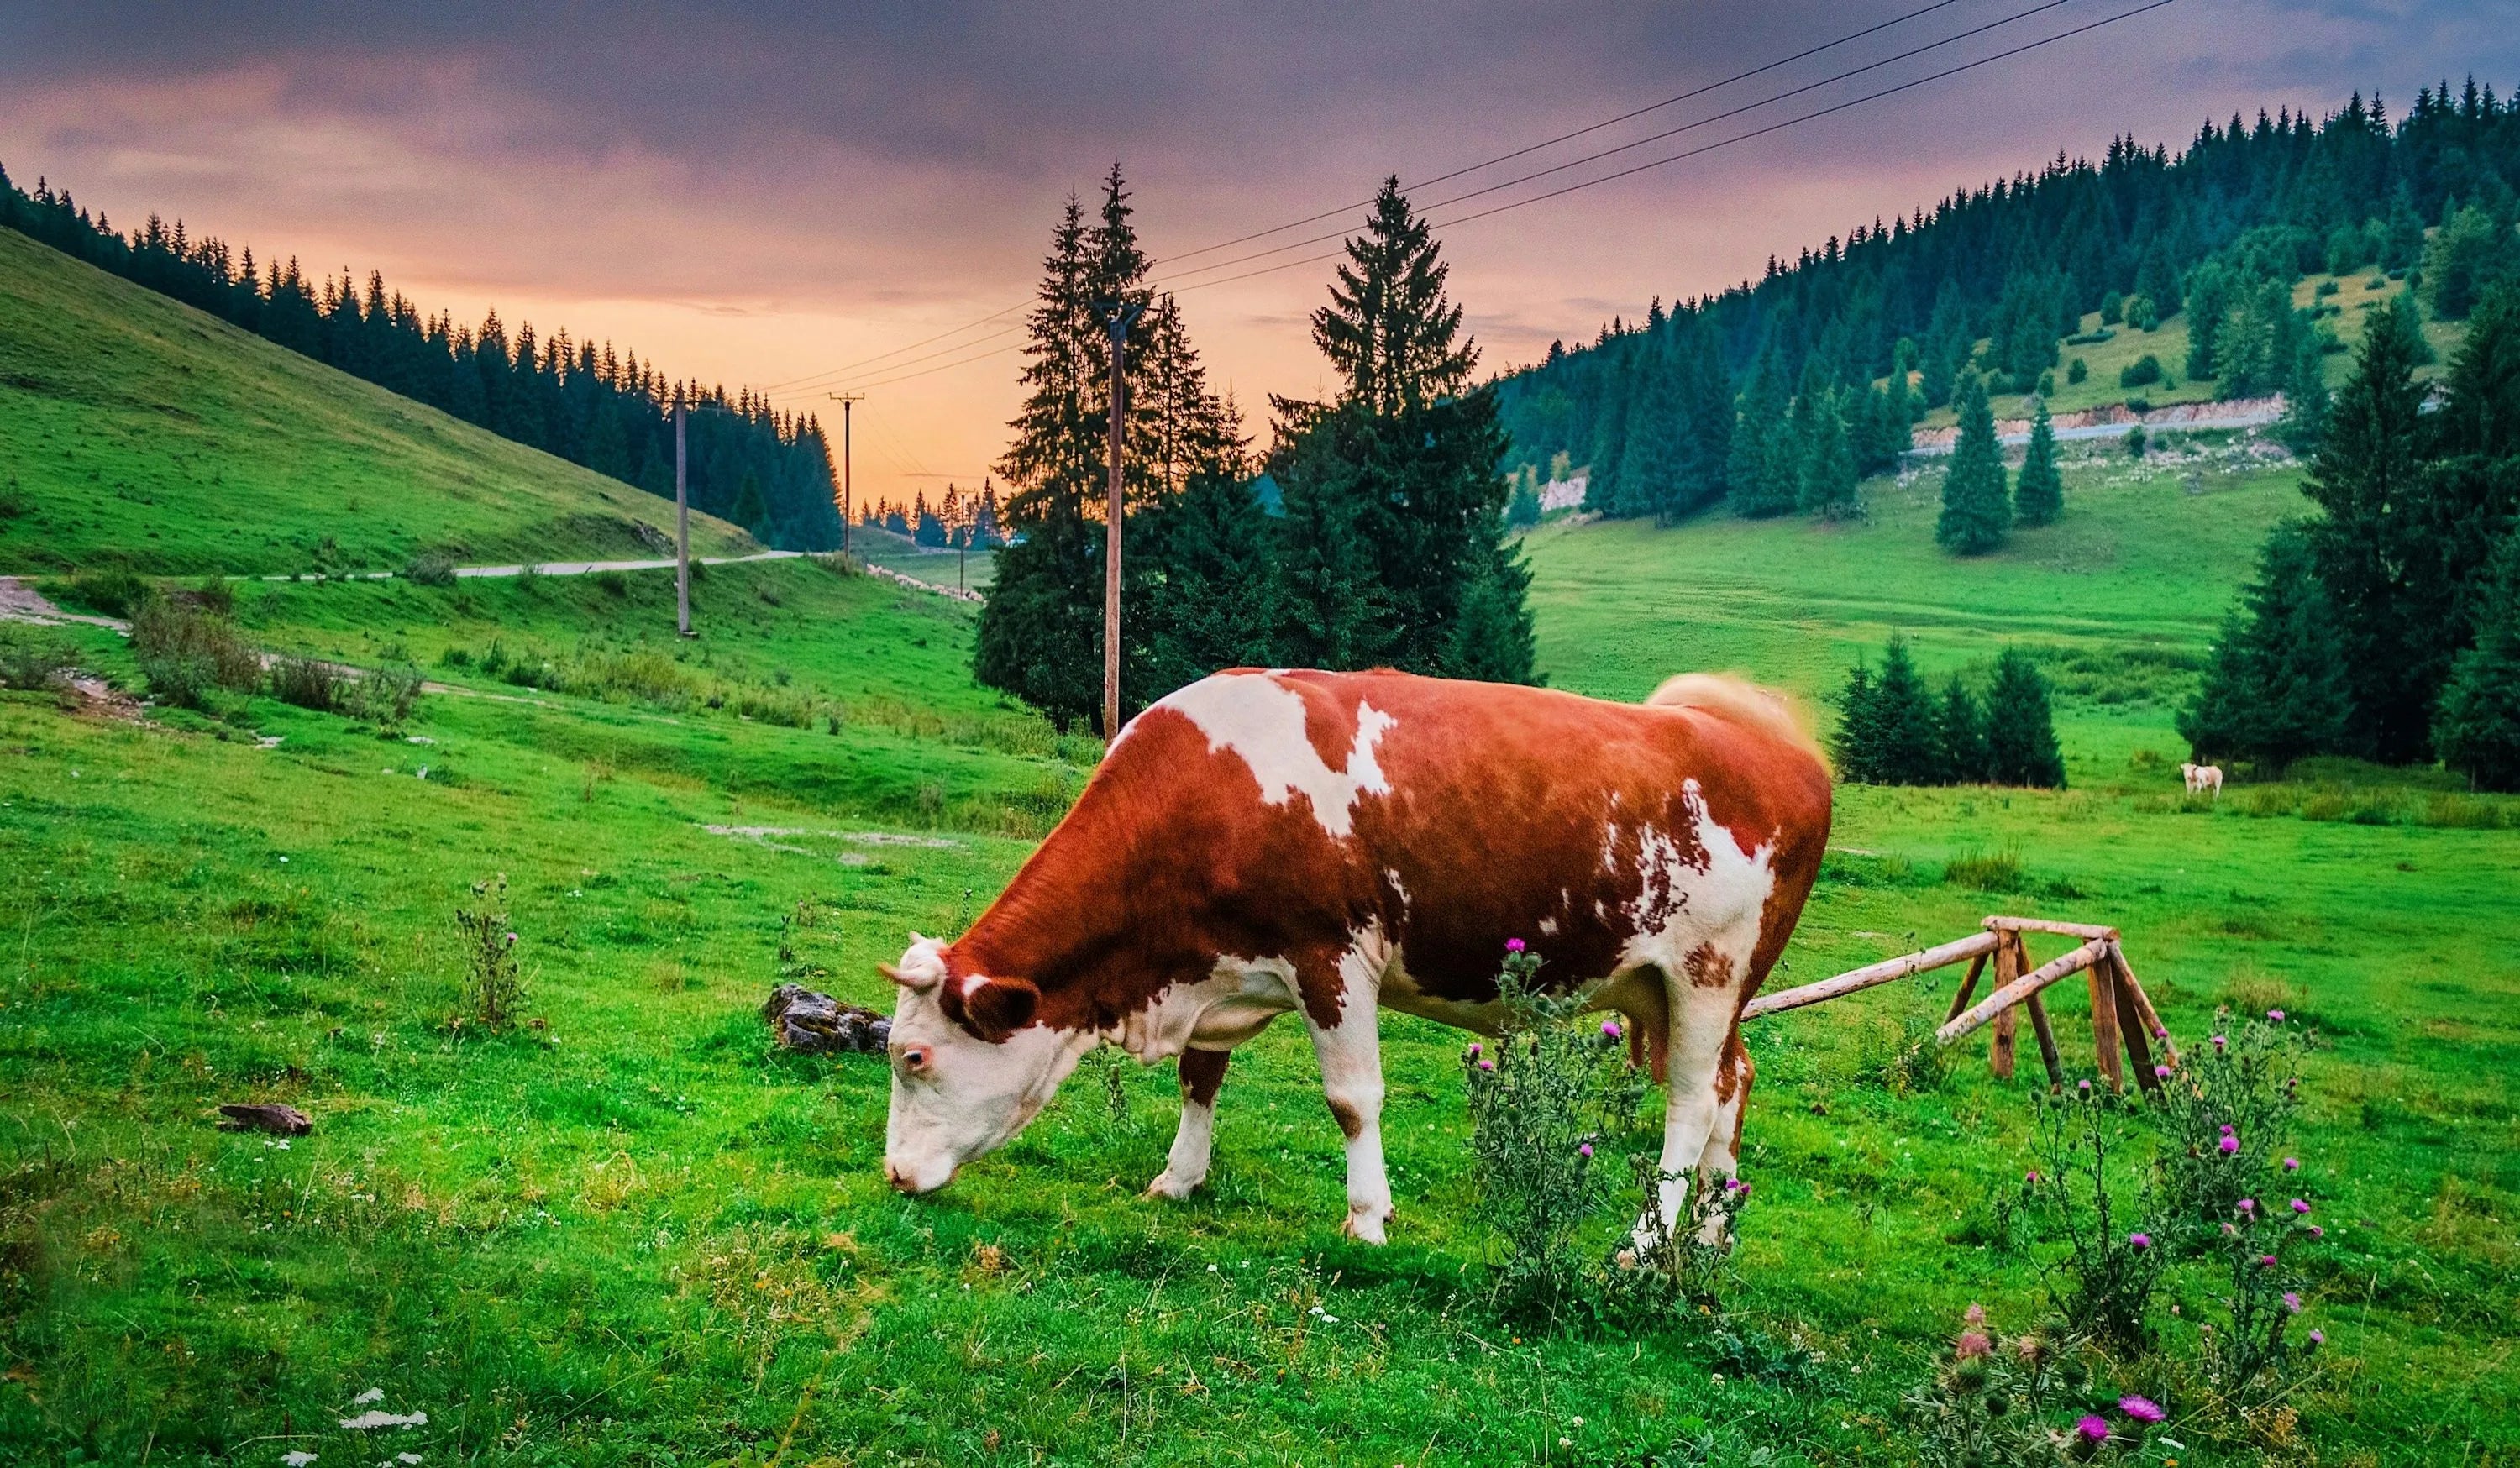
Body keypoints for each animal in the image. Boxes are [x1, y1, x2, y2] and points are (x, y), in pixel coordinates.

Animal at [880, 668, 1832, 1244]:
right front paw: (1179, 1178)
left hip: (1708, 975)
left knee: (1690, 1103)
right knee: (1732, 1085)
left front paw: (1368, 1216)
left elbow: (1351, 1099)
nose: (892, 1174)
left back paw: (1645, 1241)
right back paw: (1709, 1232)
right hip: (1664, 991)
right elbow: (1200, 1075)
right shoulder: (1219, 967)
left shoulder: (1332, 958)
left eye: (914, 1056)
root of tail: (1776, 746)